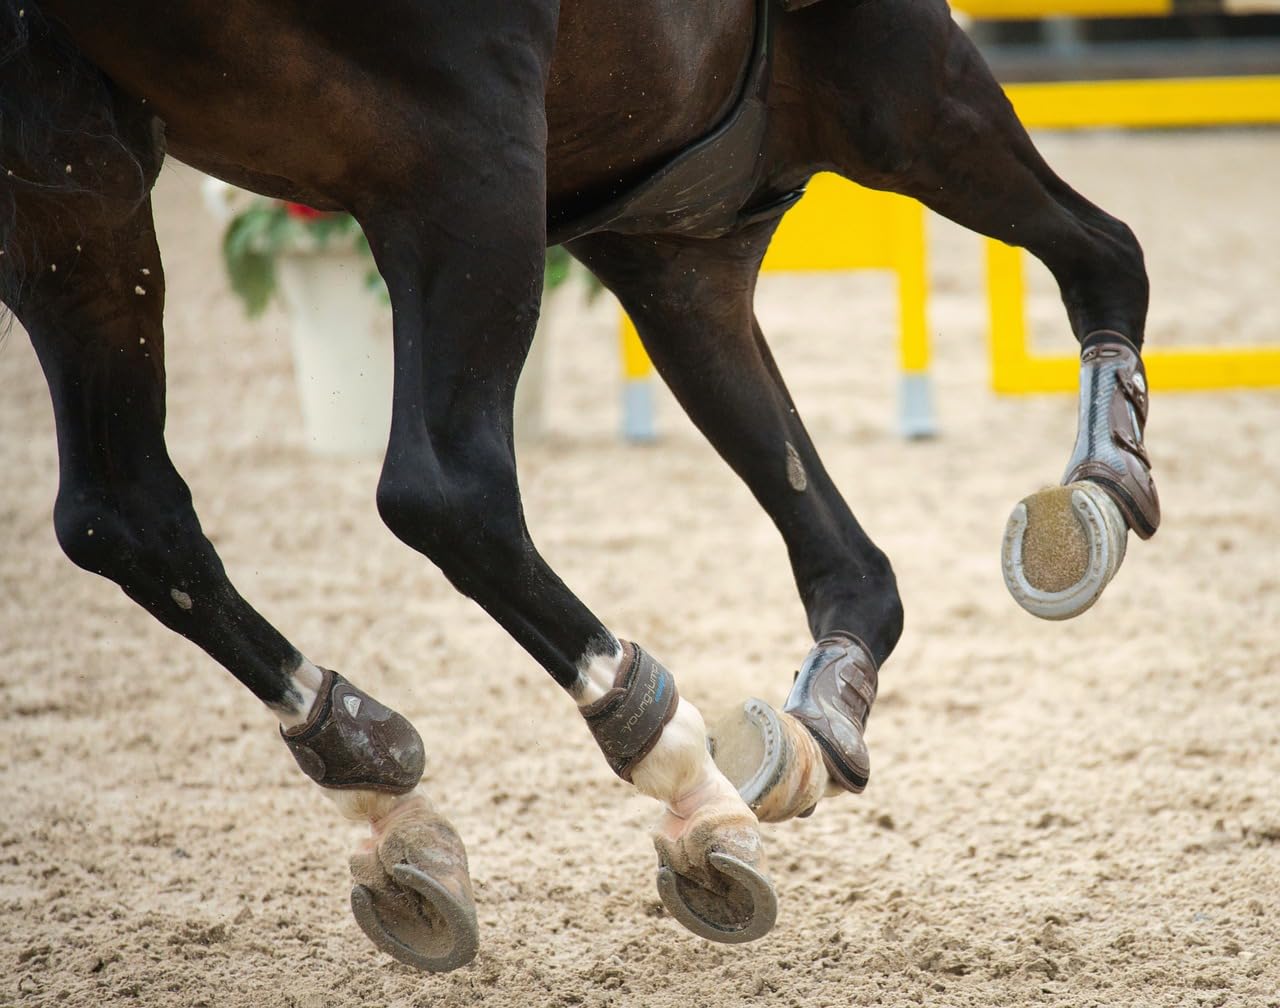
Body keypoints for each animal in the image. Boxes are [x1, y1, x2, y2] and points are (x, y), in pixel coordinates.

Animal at [0, 0, 1159, 973]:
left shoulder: (671, 246)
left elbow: (839, 548)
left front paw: (822, 717)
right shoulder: (884, 67)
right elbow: (1104, 253)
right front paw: (1099, 488)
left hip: (73, 172)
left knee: (122, 515)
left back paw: (368, 774)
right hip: (464, 149)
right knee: (443, 491)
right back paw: (668, 765)